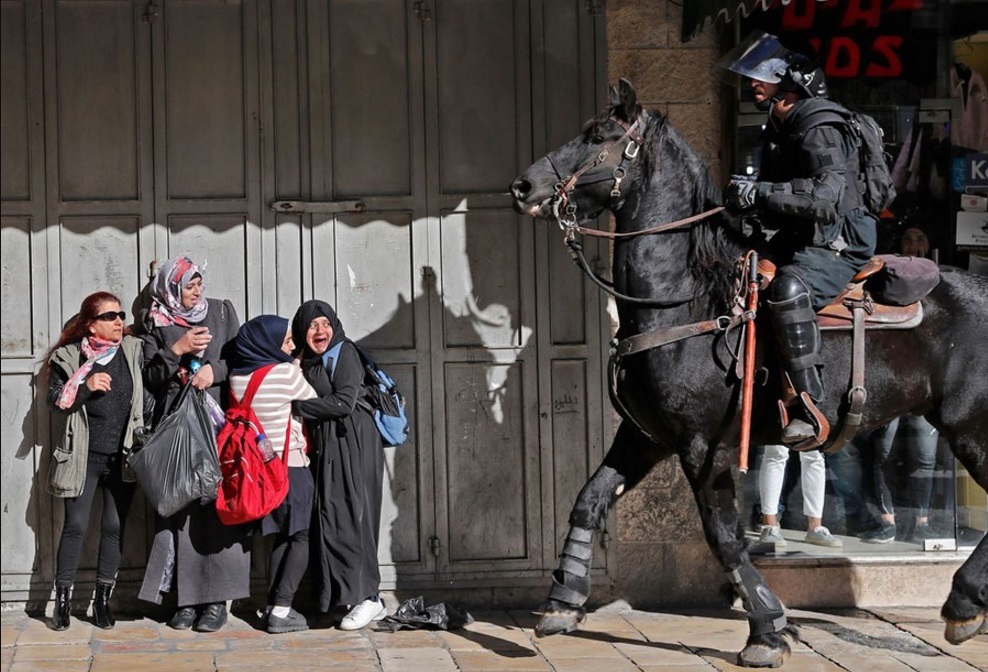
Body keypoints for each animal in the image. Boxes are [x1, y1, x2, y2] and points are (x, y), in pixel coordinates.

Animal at [510, 79, 988, 668]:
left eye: (599, 136)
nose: (523, 185)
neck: (682, 300)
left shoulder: (702, 447)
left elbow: (724, 536)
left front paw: (767, 629)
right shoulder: (645, 435)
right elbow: (589, 499)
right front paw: (563, 600)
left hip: (972, 430)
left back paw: (964, 602)